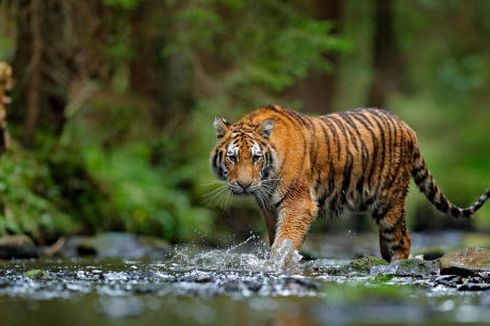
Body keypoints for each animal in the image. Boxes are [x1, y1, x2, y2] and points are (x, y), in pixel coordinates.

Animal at [211, 105, 490, 262]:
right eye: (233, 158)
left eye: (255, 158)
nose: (244, 185)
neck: (267, 178)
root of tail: (407, 126)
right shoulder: (269, 207)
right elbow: (275, 237)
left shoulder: (298, 203)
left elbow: (285, 240)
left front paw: (278, 262)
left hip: (388, 201)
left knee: (403, 239)